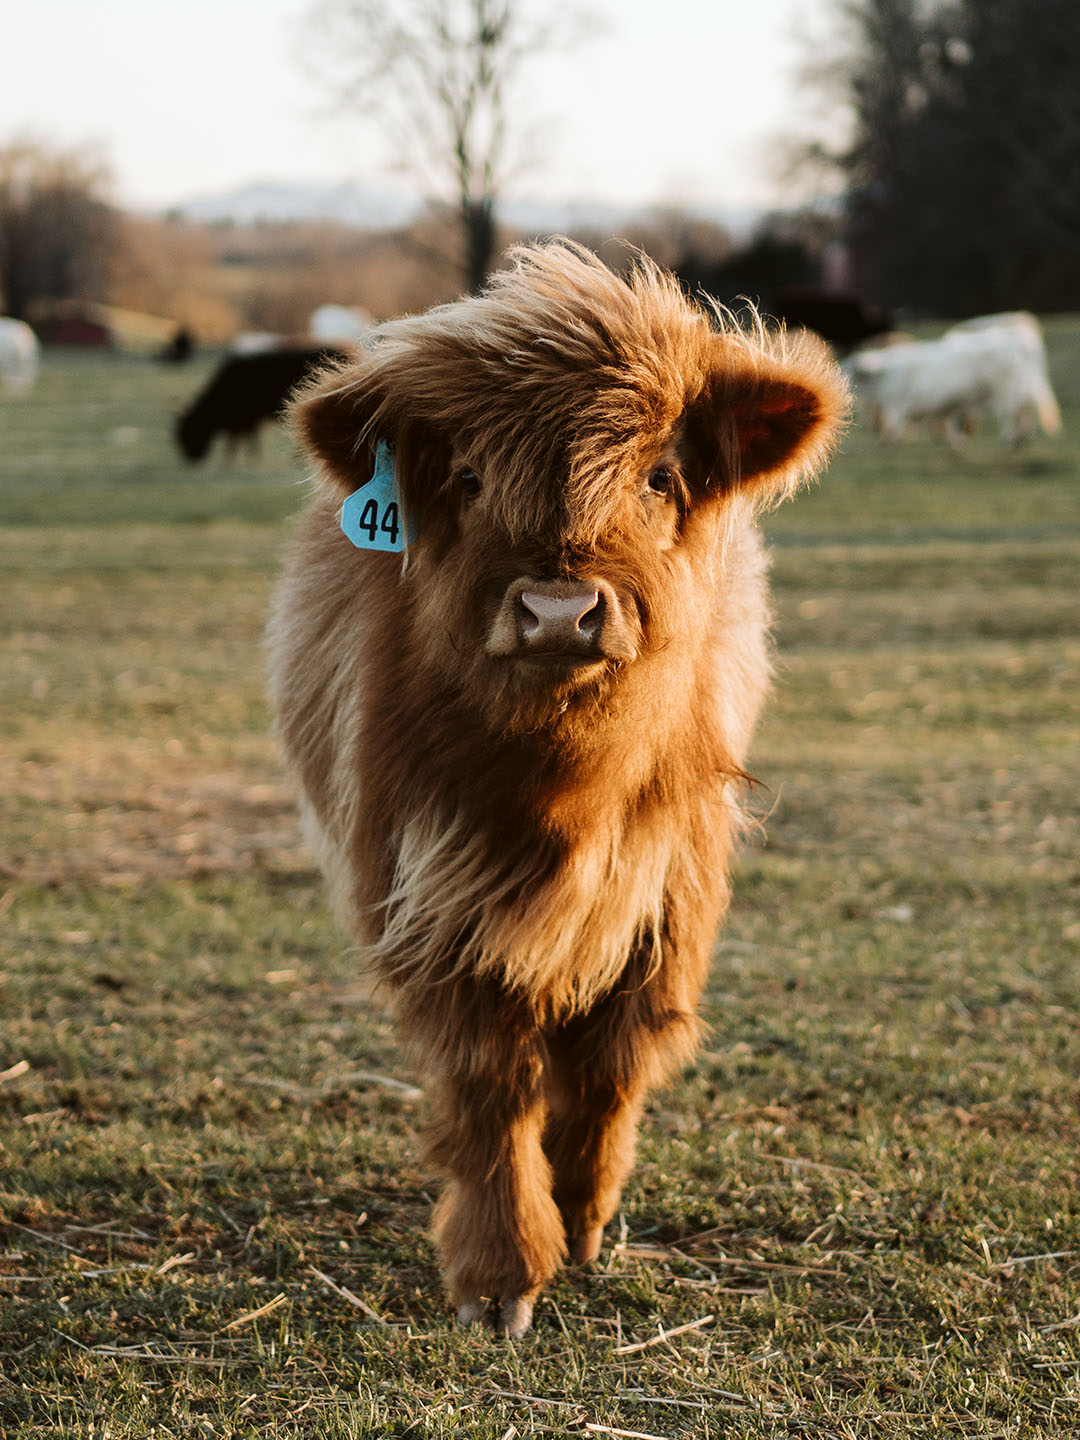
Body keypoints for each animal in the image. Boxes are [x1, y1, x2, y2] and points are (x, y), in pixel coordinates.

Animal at [266, 244, 852, 1336]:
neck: (564, 794)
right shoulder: (433, 890)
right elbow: (493, 1088)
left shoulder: (670, 888)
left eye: (659, 475)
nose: (556, 611)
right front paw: (500, 1277)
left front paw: (581, 1223)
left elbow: (613, 1064)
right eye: (467, 475)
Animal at [846, 318, 1065, 446]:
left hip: (1007, 392)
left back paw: (1010, 438)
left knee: (1012, 414)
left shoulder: (897, 406)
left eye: (850, 372)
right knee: (1025, 412)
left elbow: (894, 428)